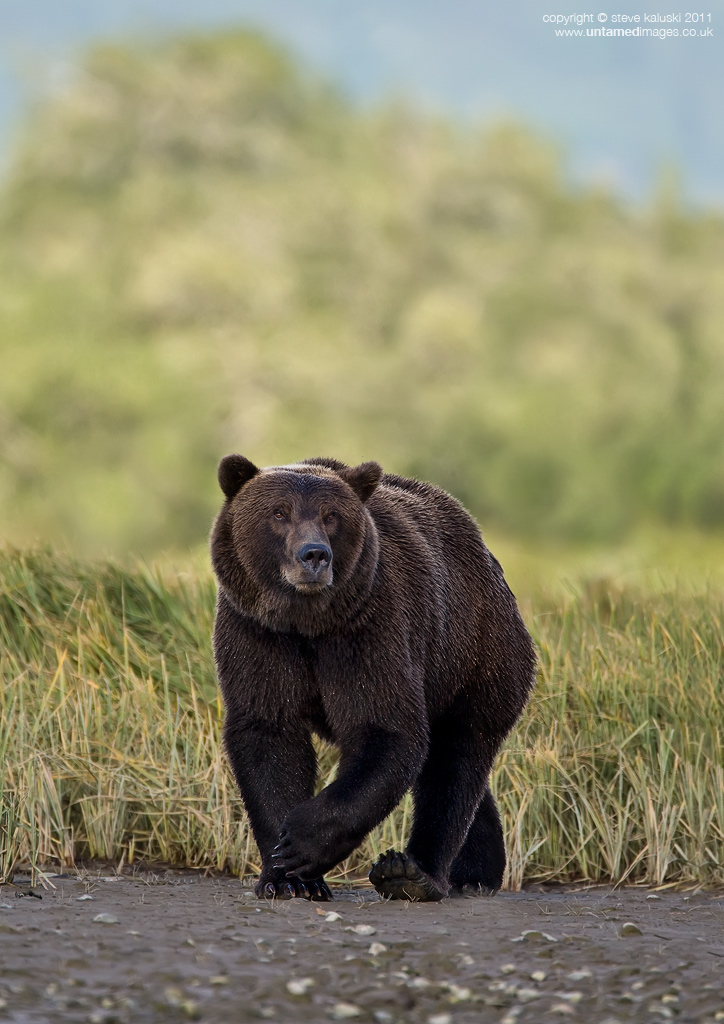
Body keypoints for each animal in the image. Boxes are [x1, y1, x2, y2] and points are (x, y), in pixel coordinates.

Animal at [210, 455, 536, 902]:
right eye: (278, 512)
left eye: (331, 516)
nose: (314, 555)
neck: (308, 624)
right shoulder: (257, 634)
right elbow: (268, 733)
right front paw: (287, 878)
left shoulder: (370, 629)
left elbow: (385, 729)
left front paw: (301, 842)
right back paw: (476, 870)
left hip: (477, 654)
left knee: (457, 757)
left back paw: (415, 873)